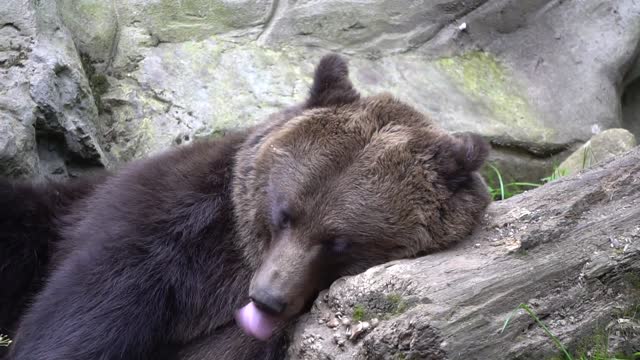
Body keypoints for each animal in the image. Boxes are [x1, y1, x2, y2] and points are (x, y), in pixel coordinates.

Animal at [0, 54, 490, 360]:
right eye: (284, 213)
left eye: (340, 242)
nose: (267, 298)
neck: (235, 265)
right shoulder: (167, 223)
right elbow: (87, 311)